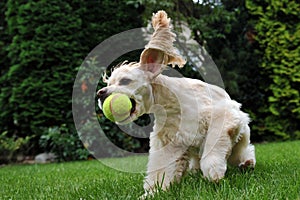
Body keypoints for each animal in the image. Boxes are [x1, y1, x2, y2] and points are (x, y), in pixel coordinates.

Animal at [96, 10, 255, 196]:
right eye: (109, 83)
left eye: (125, 81)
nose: (100, 93)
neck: (171, 105)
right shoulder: (169, 142)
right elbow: (161, 170)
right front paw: (153, 192)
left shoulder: (223, 115)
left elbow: (213, 144)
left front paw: (214, 171)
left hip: (240, 134)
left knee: (241, 151)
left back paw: (247, 163)